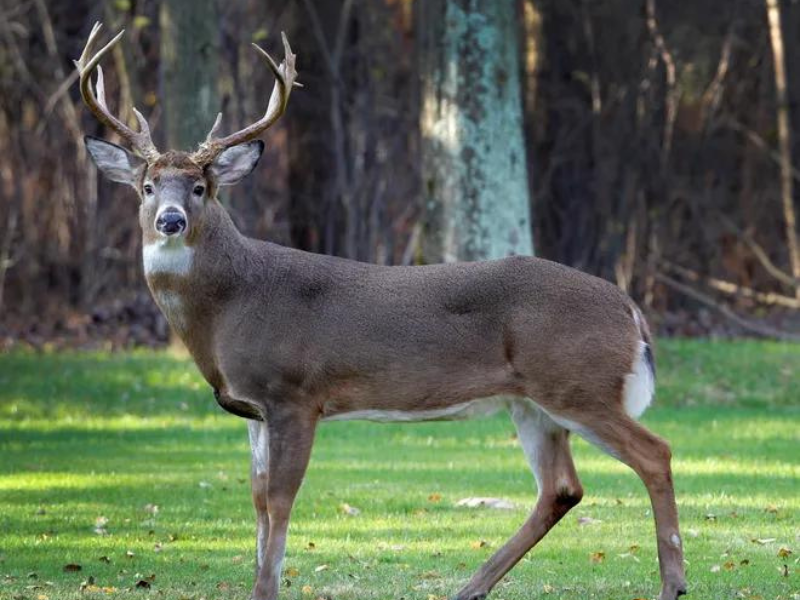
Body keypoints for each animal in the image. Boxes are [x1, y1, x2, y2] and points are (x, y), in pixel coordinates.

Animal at [76, 22, 688, 600]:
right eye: (147, 186)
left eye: (201, 188)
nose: (170, 220)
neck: (231, 306)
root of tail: (630, 310)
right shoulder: (253, 408)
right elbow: (255, 501)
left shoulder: (296, 394)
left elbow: (280, 500)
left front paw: (267, 589)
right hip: (532, 403)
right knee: (561, 488)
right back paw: (470, 586)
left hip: (577, 384)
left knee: (655, 452)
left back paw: (672, 582)